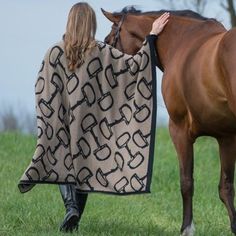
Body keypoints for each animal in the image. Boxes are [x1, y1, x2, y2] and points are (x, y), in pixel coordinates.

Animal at [102, 6, 236, 234]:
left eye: (110, 38)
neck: (182, 42)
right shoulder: (226, 137)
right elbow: (225, 187)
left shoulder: (179, 131)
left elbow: (186, 182)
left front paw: (187, 228)